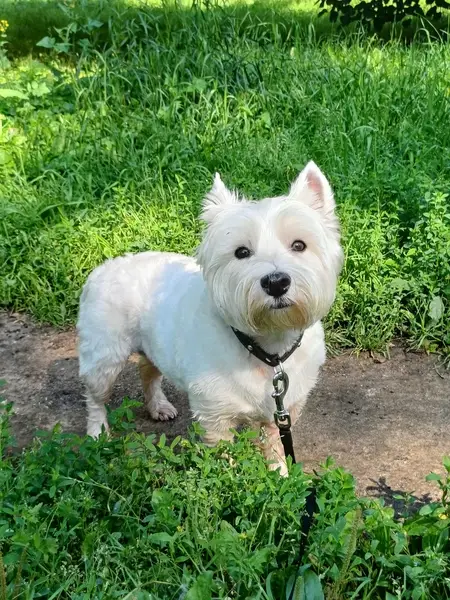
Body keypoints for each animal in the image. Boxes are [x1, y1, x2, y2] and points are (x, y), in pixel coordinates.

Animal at [77, 161, 343, 474]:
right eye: (241, 252)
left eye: (299, 245)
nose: (276, 282)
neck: (267, 348)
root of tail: (105, 266)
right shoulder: (214, 415)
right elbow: (223, 461)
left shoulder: (282, 411)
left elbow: (275, 450)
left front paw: (282, 477)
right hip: (105, 356)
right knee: (96, 397)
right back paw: (97, 433)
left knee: (148, 370)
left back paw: (158, 406)